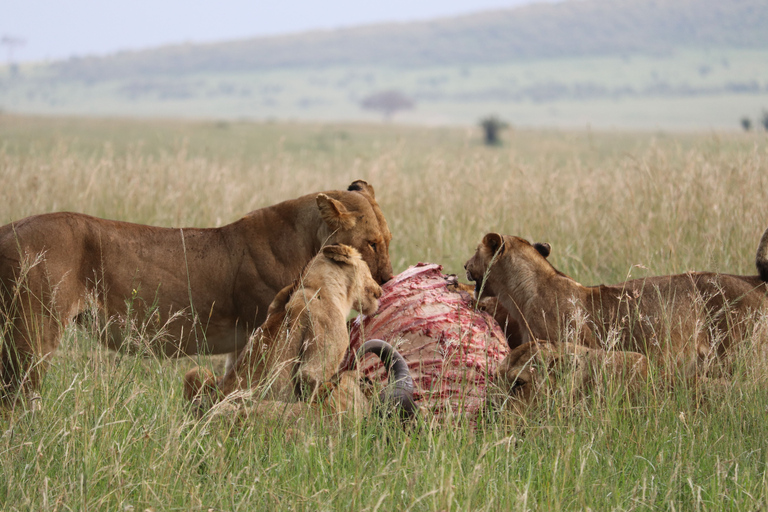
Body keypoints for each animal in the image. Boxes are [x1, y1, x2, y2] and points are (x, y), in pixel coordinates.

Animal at [184, 245, 416, 424]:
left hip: (197, 373)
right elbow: (317, 386)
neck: (314, 285)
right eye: (367, 267)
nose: (381, 288)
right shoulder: (322, 354)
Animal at [462, 228, 768, 376]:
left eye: (476, 251)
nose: (464, 265)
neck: (521, 292)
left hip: (738, 356)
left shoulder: (575, 345)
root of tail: (755, 280)